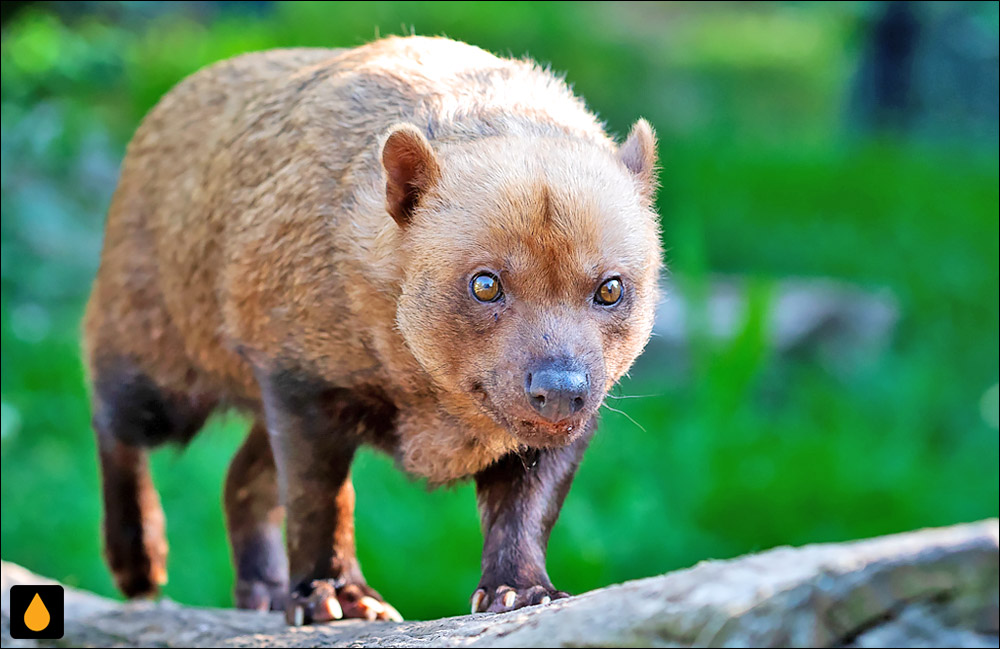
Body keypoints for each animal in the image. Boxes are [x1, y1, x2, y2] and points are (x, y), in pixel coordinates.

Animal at [84, 36, 664, 624]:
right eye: (485, 283)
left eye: (610, 288)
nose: (560, 390)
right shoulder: (304, 383)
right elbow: (320, 501)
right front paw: (336, 596)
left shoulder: (567, 425)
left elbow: (527, 508)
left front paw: (521, 590)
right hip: (160, 373)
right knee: (110, 414)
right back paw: (138, 562)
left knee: (240, 477)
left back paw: (264, 593)